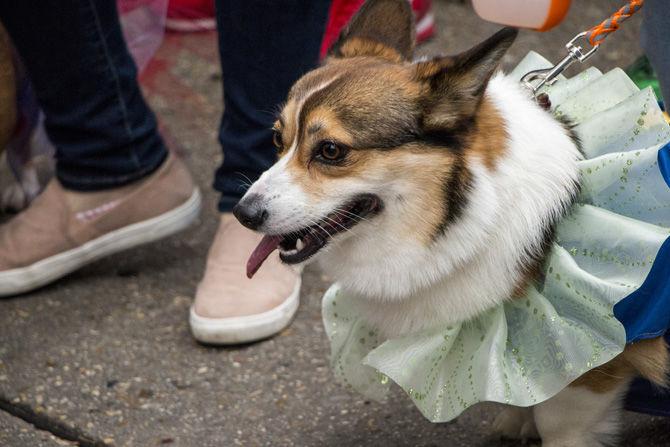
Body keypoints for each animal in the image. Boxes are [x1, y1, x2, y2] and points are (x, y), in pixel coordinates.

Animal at [235, 1, 668, 446]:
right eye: (277, 139)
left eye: (331, 151)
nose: (243, 214)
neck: (464, 208)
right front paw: (516, 421)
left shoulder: (587, 358)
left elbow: (558, 420)